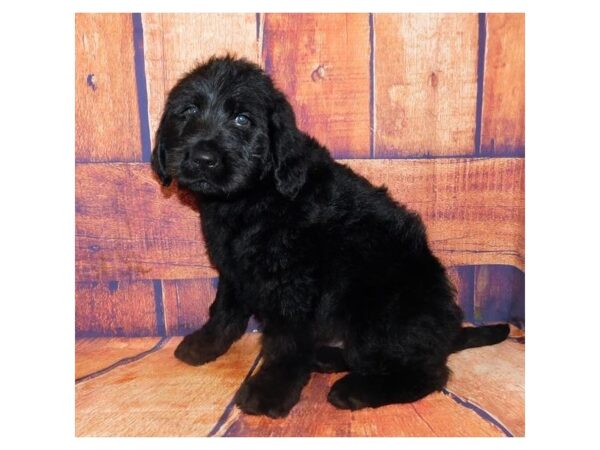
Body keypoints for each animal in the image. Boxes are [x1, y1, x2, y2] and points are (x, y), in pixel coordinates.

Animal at [149, 56, 506, 418]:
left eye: (242, 119)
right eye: (188, 111)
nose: (202, 158)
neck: (253, 196)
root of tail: (447, 332)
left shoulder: (294, 284)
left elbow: (286, 340)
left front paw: (270, 390)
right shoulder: (233, 269)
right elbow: (224, 310)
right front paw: (205, 344)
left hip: (379, 310)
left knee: (428, 372)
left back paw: (356, 390)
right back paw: (326, 357)